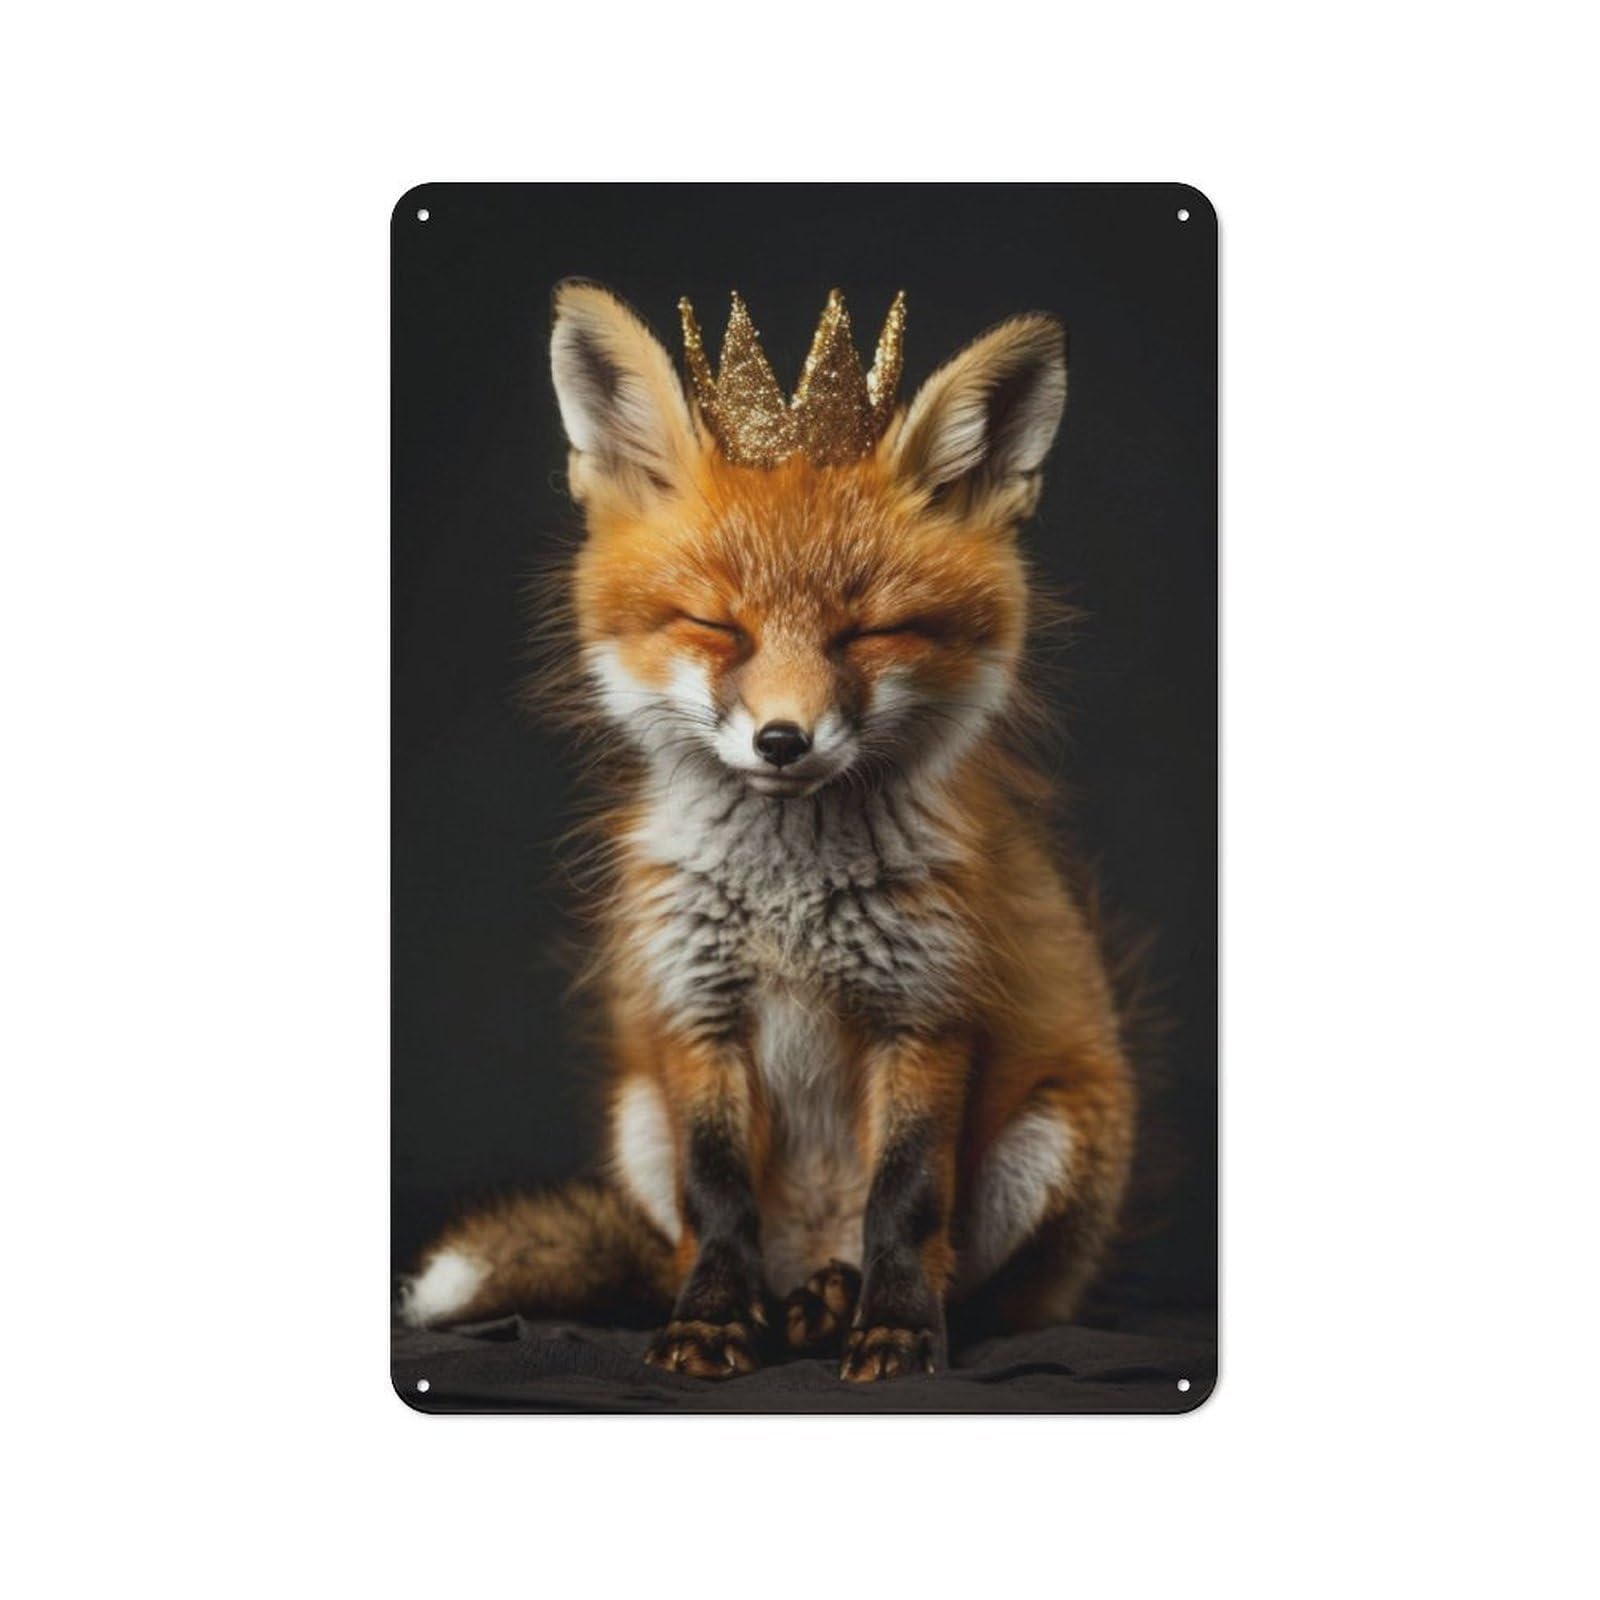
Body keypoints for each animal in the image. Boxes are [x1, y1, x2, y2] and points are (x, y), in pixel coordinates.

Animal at [400, 280, 1137, 1382]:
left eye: (868, 634)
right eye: (719, 627)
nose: (782, 739)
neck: (791, 907)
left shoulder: (926, 1012)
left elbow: (908, 1199)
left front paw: (897, 1329)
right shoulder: (697, 1011)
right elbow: (717, 1200)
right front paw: (711, 1323)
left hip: (1046, 1145)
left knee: (968, 1279)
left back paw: (839, 1307)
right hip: (637, 1119)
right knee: (696, 1247)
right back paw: (783, 1308)